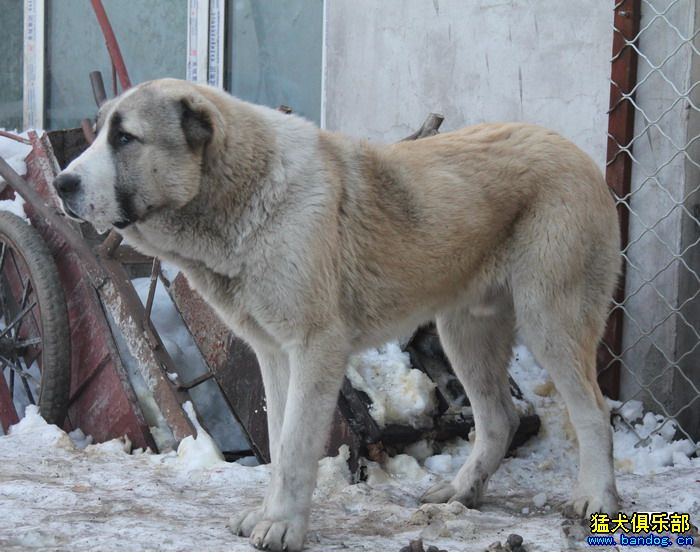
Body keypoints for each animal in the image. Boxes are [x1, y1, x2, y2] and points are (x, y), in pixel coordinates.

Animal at [56, 78, 624, 552]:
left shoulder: (315, 349)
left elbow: (294, 447)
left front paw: (283, 527)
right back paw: (461, 491)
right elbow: (279, 441)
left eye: (126, 138)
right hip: (465, 332)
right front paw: (269, 515)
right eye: (100, 131)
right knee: (499, 418)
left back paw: (597, 498)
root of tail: (576, 152)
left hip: (550, 320)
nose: (61, 185)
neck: (245, 193)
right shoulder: (274, 355)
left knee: (594, 413)